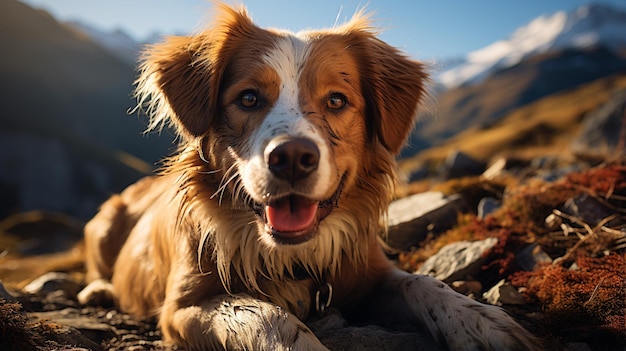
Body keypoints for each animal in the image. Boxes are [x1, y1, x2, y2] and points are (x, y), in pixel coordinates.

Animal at [78, 3, 540, 351]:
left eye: (336, 100)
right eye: (248, 98)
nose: (292, 158)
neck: (292, 258)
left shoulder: (369, 271)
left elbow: (425, 284)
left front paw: (486, 323)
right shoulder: (182, 307)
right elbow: (267, 317)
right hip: (103, 222)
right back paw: (98, 290)